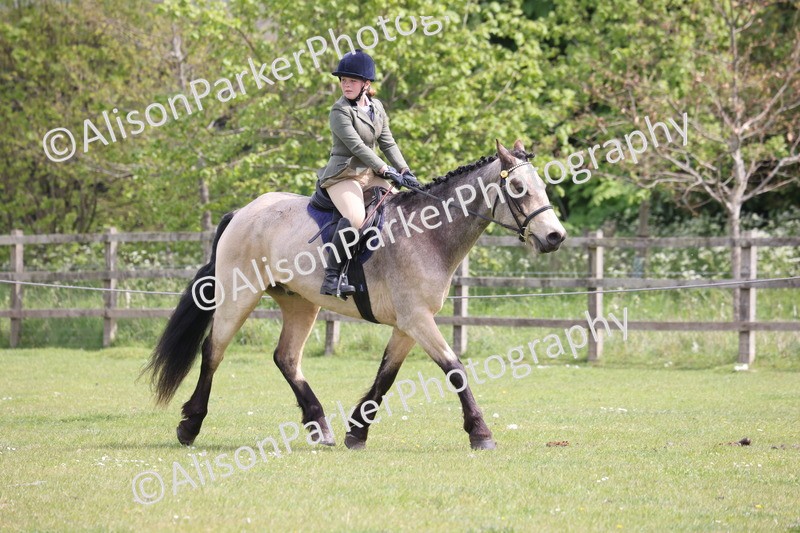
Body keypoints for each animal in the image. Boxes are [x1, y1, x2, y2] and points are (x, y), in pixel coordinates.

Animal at [144, 139, 566, 450]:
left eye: (543, 187)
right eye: (518, 188)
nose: (555, 237)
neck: (427, 233)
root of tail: (243, 212)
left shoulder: (408, 324)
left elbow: (386, 376)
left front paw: (357, 431)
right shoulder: (417, 319)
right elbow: (455, 369)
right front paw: (480, 432)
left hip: (300, 303)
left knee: (286, 358)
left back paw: (320, 425)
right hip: (239, 295)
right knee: (213, 350)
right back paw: (190, 425)